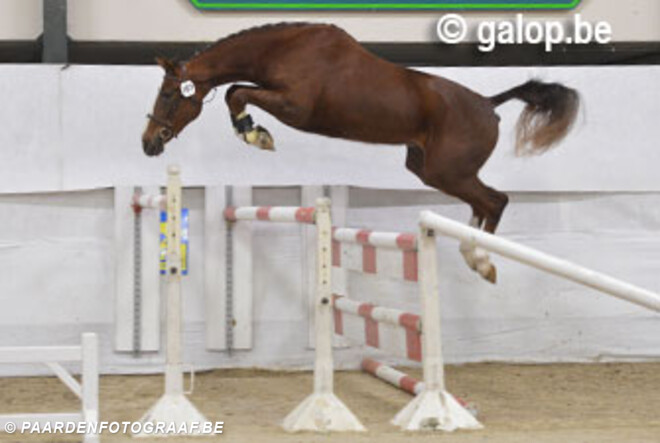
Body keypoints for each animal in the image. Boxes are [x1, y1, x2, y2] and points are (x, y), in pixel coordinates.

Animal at [142, 22, 580, 284]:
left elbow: (237, 92)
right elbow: (236, 91)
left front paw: (256, 135)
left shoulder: (295, 107)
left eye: (169, 94)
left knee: (495, 201)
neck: (284, 50)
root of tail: (489, 105)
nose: (148, 143)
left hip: (449, 171)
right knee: (481, 204)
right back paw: (474, 256)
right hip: (430, 170)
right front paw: (253, 132)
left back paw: (484, 261)